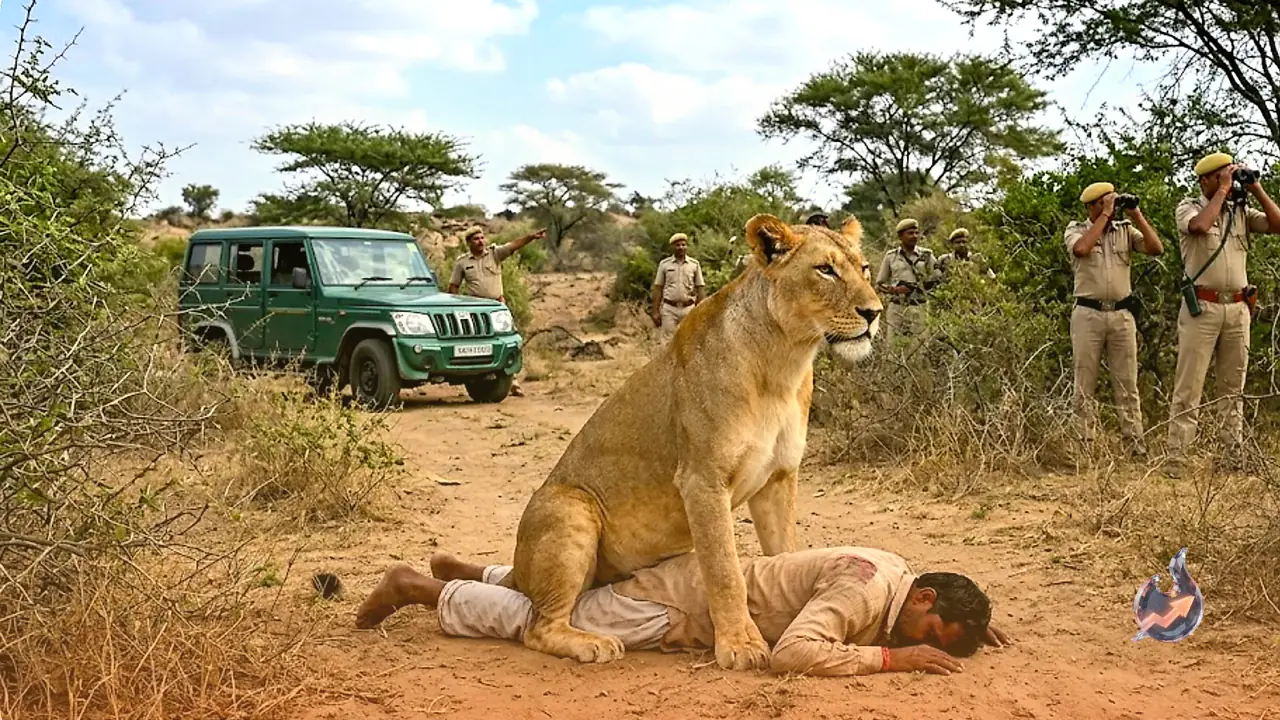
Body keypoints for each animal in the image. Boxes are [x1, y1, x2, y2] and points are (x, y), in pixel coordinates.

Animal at [499, 213, 883, 670]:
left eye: (863, 268)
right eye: (825, 270)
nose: (874, 312)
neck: (783, 361)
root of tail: (516, 568)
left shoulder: (778, 478)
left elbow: (785, 552)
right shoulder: (702, 479)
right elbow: (724, 570)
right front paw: (740, 645)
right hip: (569, 508)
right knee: (537, 626)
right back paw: (593, 644)